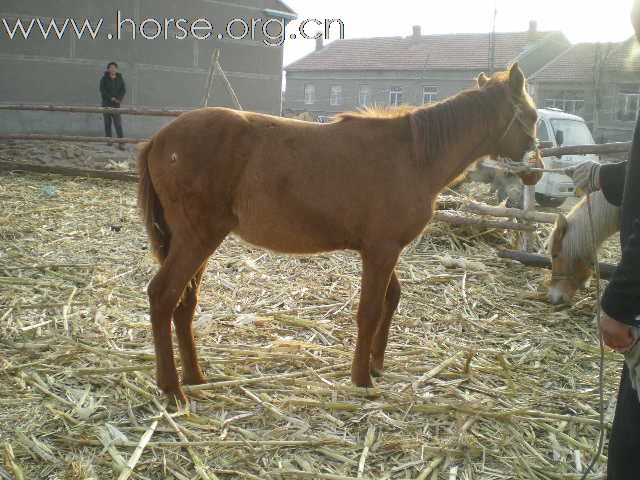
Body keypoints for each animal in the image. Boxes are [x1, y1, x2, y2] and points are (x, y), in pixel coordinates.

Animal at [138, 62, 544, 404]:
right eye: (531, 116)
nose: (536, 172)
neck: (413, 157)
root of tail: (158, 139)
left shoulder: (384, 249)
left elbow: (391, 300)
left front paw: (376, 365)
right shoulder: (381, 251)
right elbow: (370, 310)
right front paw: (362, 378)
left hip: (198, 242)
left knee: (185, 303)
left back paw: (194, 377)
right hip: (197, 239)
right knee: (163, 296)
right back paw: (172, 388)